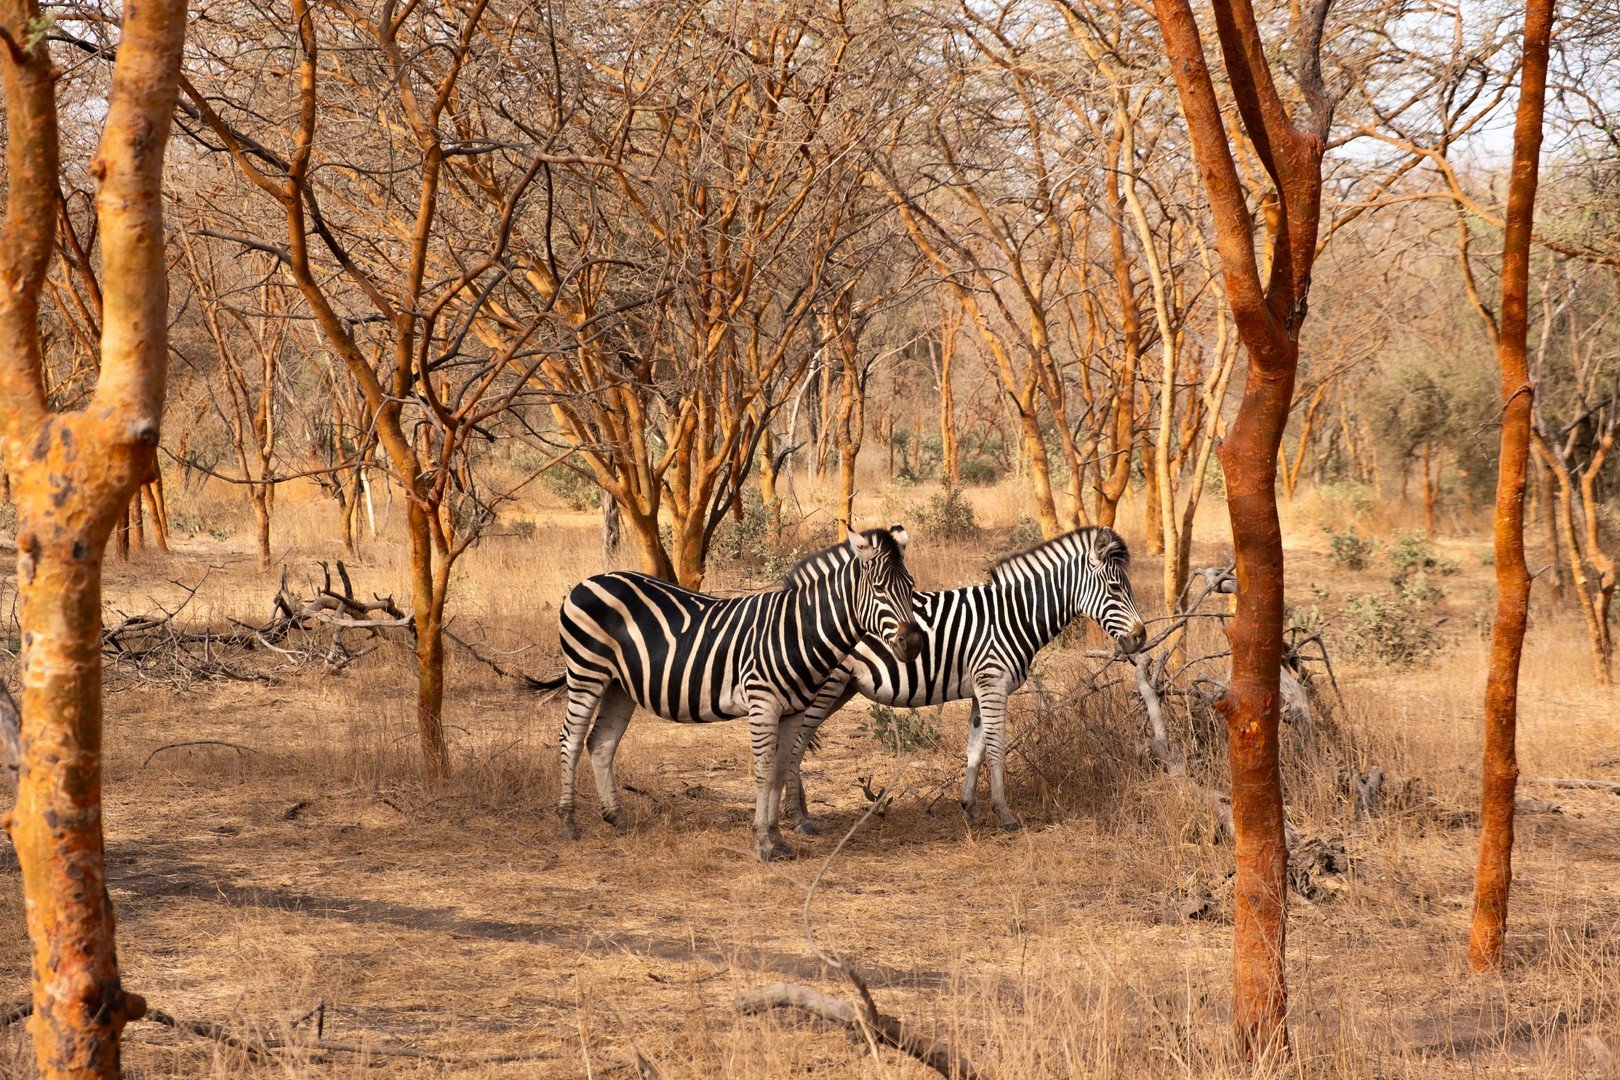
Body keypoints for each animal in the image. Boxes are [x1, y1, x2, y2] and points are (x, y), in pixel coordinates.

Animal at [541, 524, 926, 861]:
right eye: (878, 588)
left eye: (911, 586)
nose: (913, 643)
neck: (798, 630)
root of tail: (588, 581)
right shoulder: (763, 702)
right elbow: (763, 770)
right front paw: (763, 844)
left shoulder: (794, 710)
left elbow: (781, 767)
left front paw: (779, 839)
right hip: (586, 672)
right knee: (571, 739)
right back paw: (568, 824)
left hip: (618, 686)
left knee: (601, 743)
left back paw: (617, 819)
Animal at [780, 527, 1140, 835]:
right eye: (1115, 588)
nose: (1140, 637)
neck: (1014, 615)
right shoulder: (993, 683)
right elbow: (996, 748)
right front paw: (1004, 814)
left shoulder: (981, 690)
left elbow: (975, 748)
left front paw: (971, 807)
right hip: (824, 687)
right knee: (796, 743)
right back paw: (798, 817)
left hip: (838, 689)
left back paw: (794, 810)